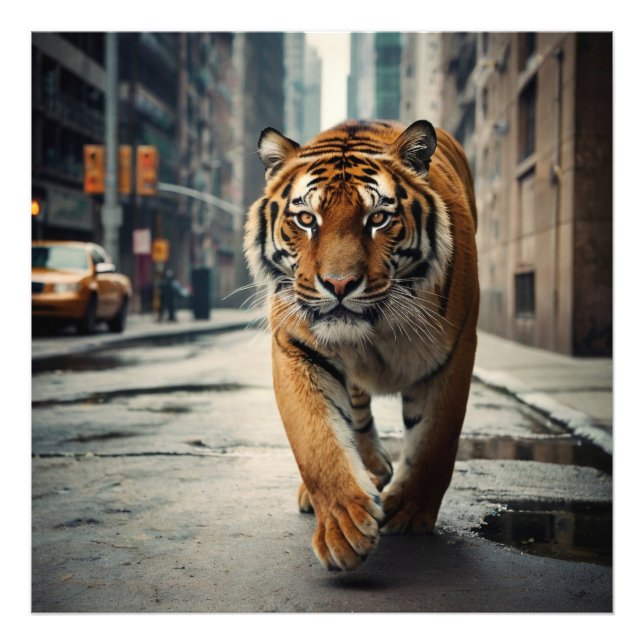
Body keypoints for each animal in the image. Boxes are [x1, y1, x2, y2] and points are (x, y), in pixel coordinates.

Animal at [243, 119, 479, 571]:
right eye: (306, 219)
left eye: (379, 218)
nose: (339, 285)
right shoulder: (296, 348)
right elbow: (317, 440)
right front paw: (344, 526)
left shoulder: (454, 352)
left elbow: (435, 439)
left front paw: (409, 511)